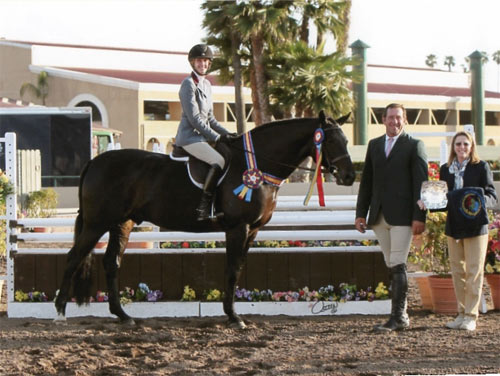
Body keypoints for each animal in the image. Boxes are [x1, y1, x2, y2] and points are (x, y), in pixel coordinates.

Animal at [54, 110, 356, 328]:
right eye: (329, 140)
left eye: (346, 140)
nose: (349, 176)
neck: (257, 164)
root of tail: (95, 161)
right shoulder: (238, 227)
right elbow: (232, 270)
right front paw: (234, 317)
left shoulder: (253, 231)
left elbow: (238, 268)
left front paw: (232, 313)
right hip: (96, 223)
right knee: (73, 257)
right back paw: (60, 312)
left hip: (122, 223)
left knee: (111, 262)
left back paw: (123, 316)